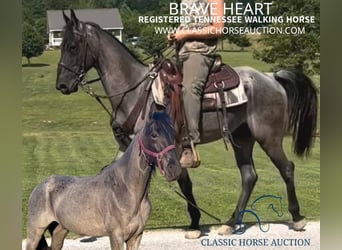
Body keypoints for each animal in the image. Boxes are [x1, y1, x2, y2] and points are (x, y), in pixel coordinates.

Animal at [25, 110, 183, 250]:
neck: (127, 191)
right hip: (35, 233)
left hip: (60, 231)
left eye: (173, 134)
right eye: (154, 134)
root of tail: (40, 186)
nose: (174, 170)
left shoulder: (136, 237)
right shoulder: (116, 236)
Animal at [55, 9, 318, 238]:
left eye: (72, 46)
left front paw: (193, 223)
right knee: (249, 176)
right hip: (242, 138)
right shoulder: (126, 147)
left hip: (268, 137)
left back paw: (297, 218)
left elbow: (181, 183)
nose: (62, 85)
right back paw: (231, 223)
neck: (136, 90)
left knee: (286, 168)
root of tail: (272, 77)